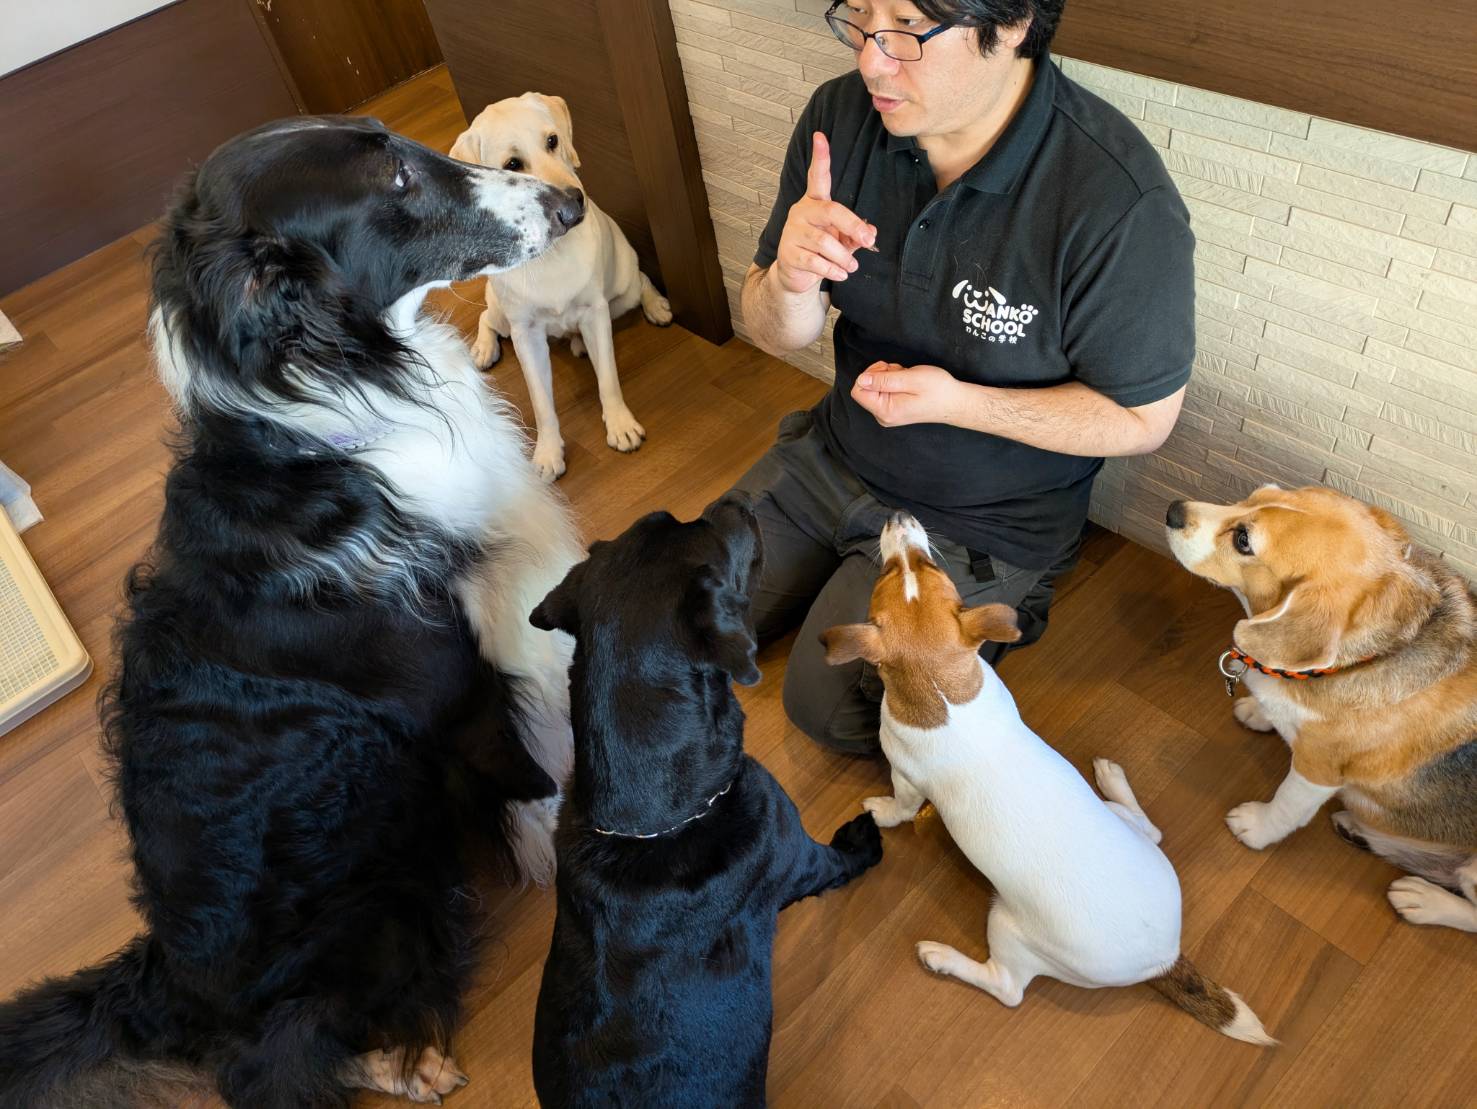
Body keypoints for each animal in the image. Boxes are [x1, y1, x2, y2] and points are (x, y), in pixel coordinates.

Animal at [0, 116, 587, 1108]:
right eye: (392, 178)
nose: (570, 203)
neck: (341, 432)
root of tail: (163, 979)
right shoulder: (466, 696)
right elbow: (538, 778)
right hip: (394, 881)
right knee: (266, 1061)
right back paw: (404, 1063)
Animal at [450, 92, 673, 482]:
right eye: (512, 165)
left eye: (552, 140)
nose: (574, 200)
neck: (550, 253)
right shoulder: (526, 334)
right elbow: (541, 403)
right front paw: (548, 451)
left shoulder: (596, 313)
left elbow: (608, 379)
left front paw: (620, 424)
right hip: (504, 317)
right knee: (487, 318)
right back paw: (483, 348)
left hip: (623, 289)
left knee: (641, 280)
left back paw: (652, 307)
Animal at [527, 494, 885, 1107]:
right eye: (703, 531)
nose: (733, 499)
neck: (652, 820)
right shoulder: (795, 854)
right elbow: (839, 861)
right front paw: (864, 838)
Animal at [822, 512, 1274, 1044]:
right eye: (925, 569)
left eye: (896, 571)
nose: (900, 517)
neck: (944, 689)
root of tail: (1163, 959)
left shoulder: (907, 778)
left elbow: (901, 805)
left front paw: (882, 812)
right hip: (1126, 829)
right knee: (1152, 829)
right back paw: (1113, 778)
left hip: (1008, 928)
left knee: (1007, 989)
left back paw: (943, 958)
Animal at [1166, 484, 1477, 933]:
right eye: (1256, 493)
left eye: (1243, 540)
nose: (1174, 510)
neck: (1377, 653)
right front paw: (1262, 713)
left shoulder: (1319, 768)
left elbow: (1286, 804)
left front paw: (1255, 827)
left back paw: (1423, 900)